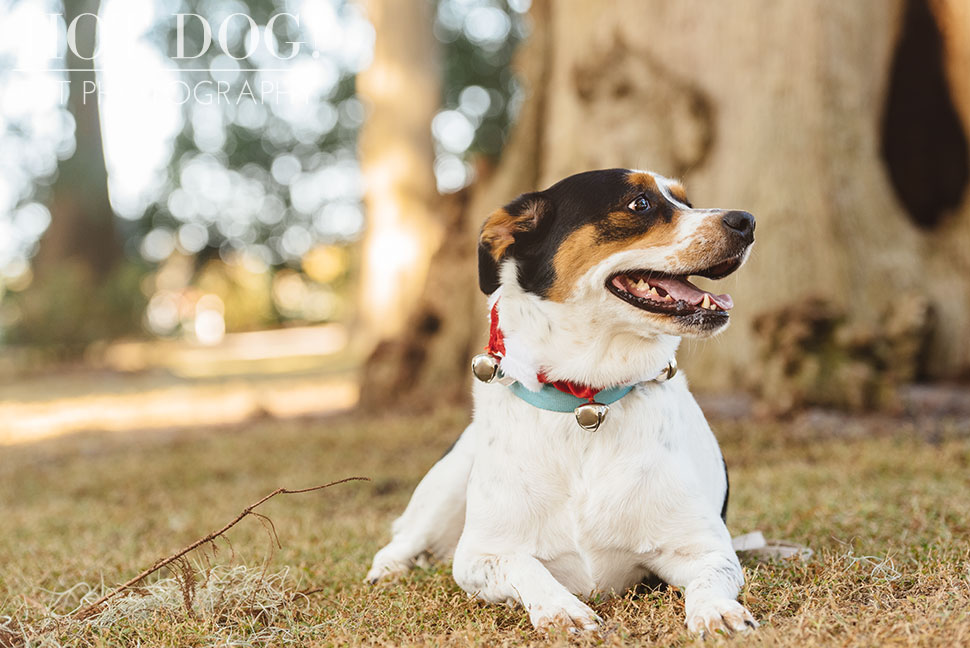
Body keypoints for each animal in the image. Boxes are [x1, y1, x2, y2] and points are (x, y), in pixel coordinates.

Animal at [368, 168, 756, 636]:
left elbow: (711, 578)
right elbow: (525, 566)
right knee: (402, 540)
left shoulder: (703, 548)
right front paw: (561, 609)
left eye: (686, 201)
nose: (747, 221)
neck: (583, 403)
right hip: (449, 481)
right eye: (640, 203)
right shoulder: (478, 556)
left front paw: (717, 610)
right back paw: (388, 570)